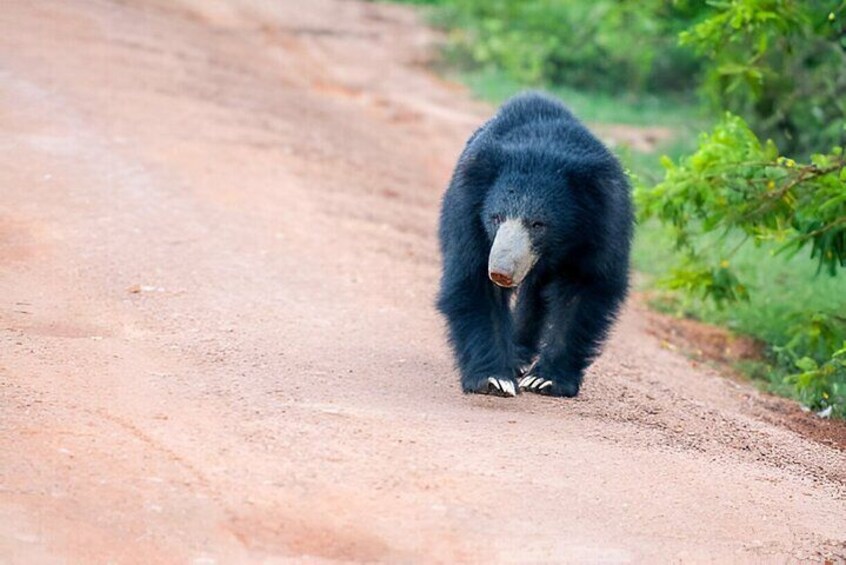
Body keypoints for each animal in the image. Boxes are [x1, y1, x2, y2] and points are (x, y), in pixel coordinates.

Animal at [440, 91, 632, 396]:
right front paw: (495, 379)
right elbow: (473, 278)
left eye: (538, 224)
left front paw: (546, 379)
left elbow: (586, 288)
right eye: (496, 217)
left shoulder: (603, 223)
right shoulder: (467, 210)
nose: (500, 272)